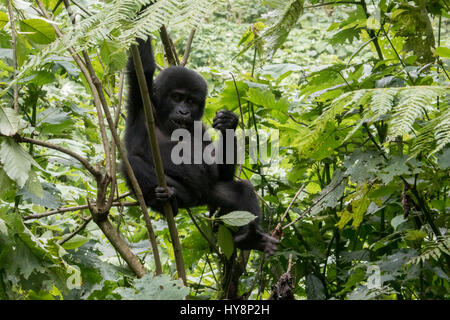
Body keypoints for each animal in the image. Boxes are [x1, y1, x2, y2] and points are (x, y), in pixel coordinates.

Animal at [123, 37, 278, 255]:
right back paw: (164, 199)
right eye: (177, 97)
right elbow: (142, 68)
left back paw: (250, 239)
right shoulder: (142, 101)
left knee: (241, 189)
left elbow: (218, 171)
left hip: (209, 194)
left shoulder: (200, 127)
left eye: (191, 101)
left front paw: (228, 124)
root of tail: (196, 200)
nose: (184, 112)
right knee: (131, 162)